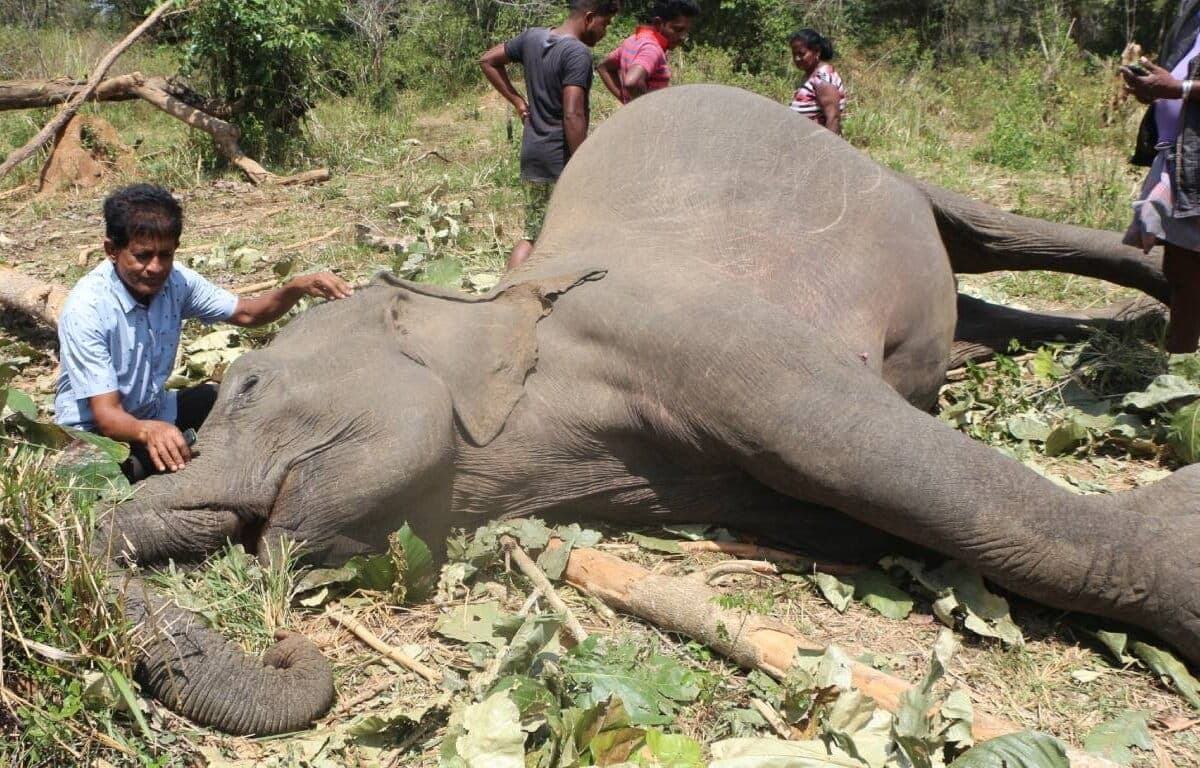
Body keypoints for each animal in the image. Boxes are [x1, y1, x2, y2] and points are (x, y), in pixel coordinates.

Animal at [96, 84, 1192, 736]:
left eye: (247, 387)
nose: (281, 638)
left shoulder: (681, 328)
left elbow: (873, 453)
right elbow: (854, 512)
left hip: (872, 164)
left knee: (984, 229)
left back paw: (1168, 308)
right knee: (973, 306)